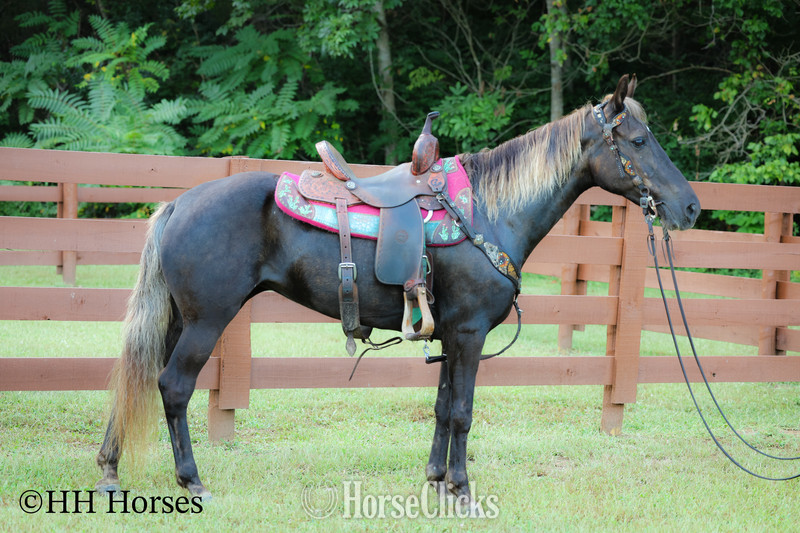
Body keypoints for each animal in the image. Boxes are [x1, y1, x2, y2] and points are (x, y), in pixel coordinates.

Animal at [95, 75, 700, 501]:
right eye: (639, 140)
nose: (691, 207)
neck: (489, 210)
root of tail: (179, 204)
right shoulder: (470, 334)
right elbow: (462, 412)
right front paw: (461, 489)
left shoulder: (451, 335)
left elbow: (441, 407)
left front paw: (435, 480)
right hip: (206, 321)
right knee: (173, 386)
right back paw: (190, 479)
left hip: (177, 318)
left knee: (138, 376)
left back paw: (109, 471)